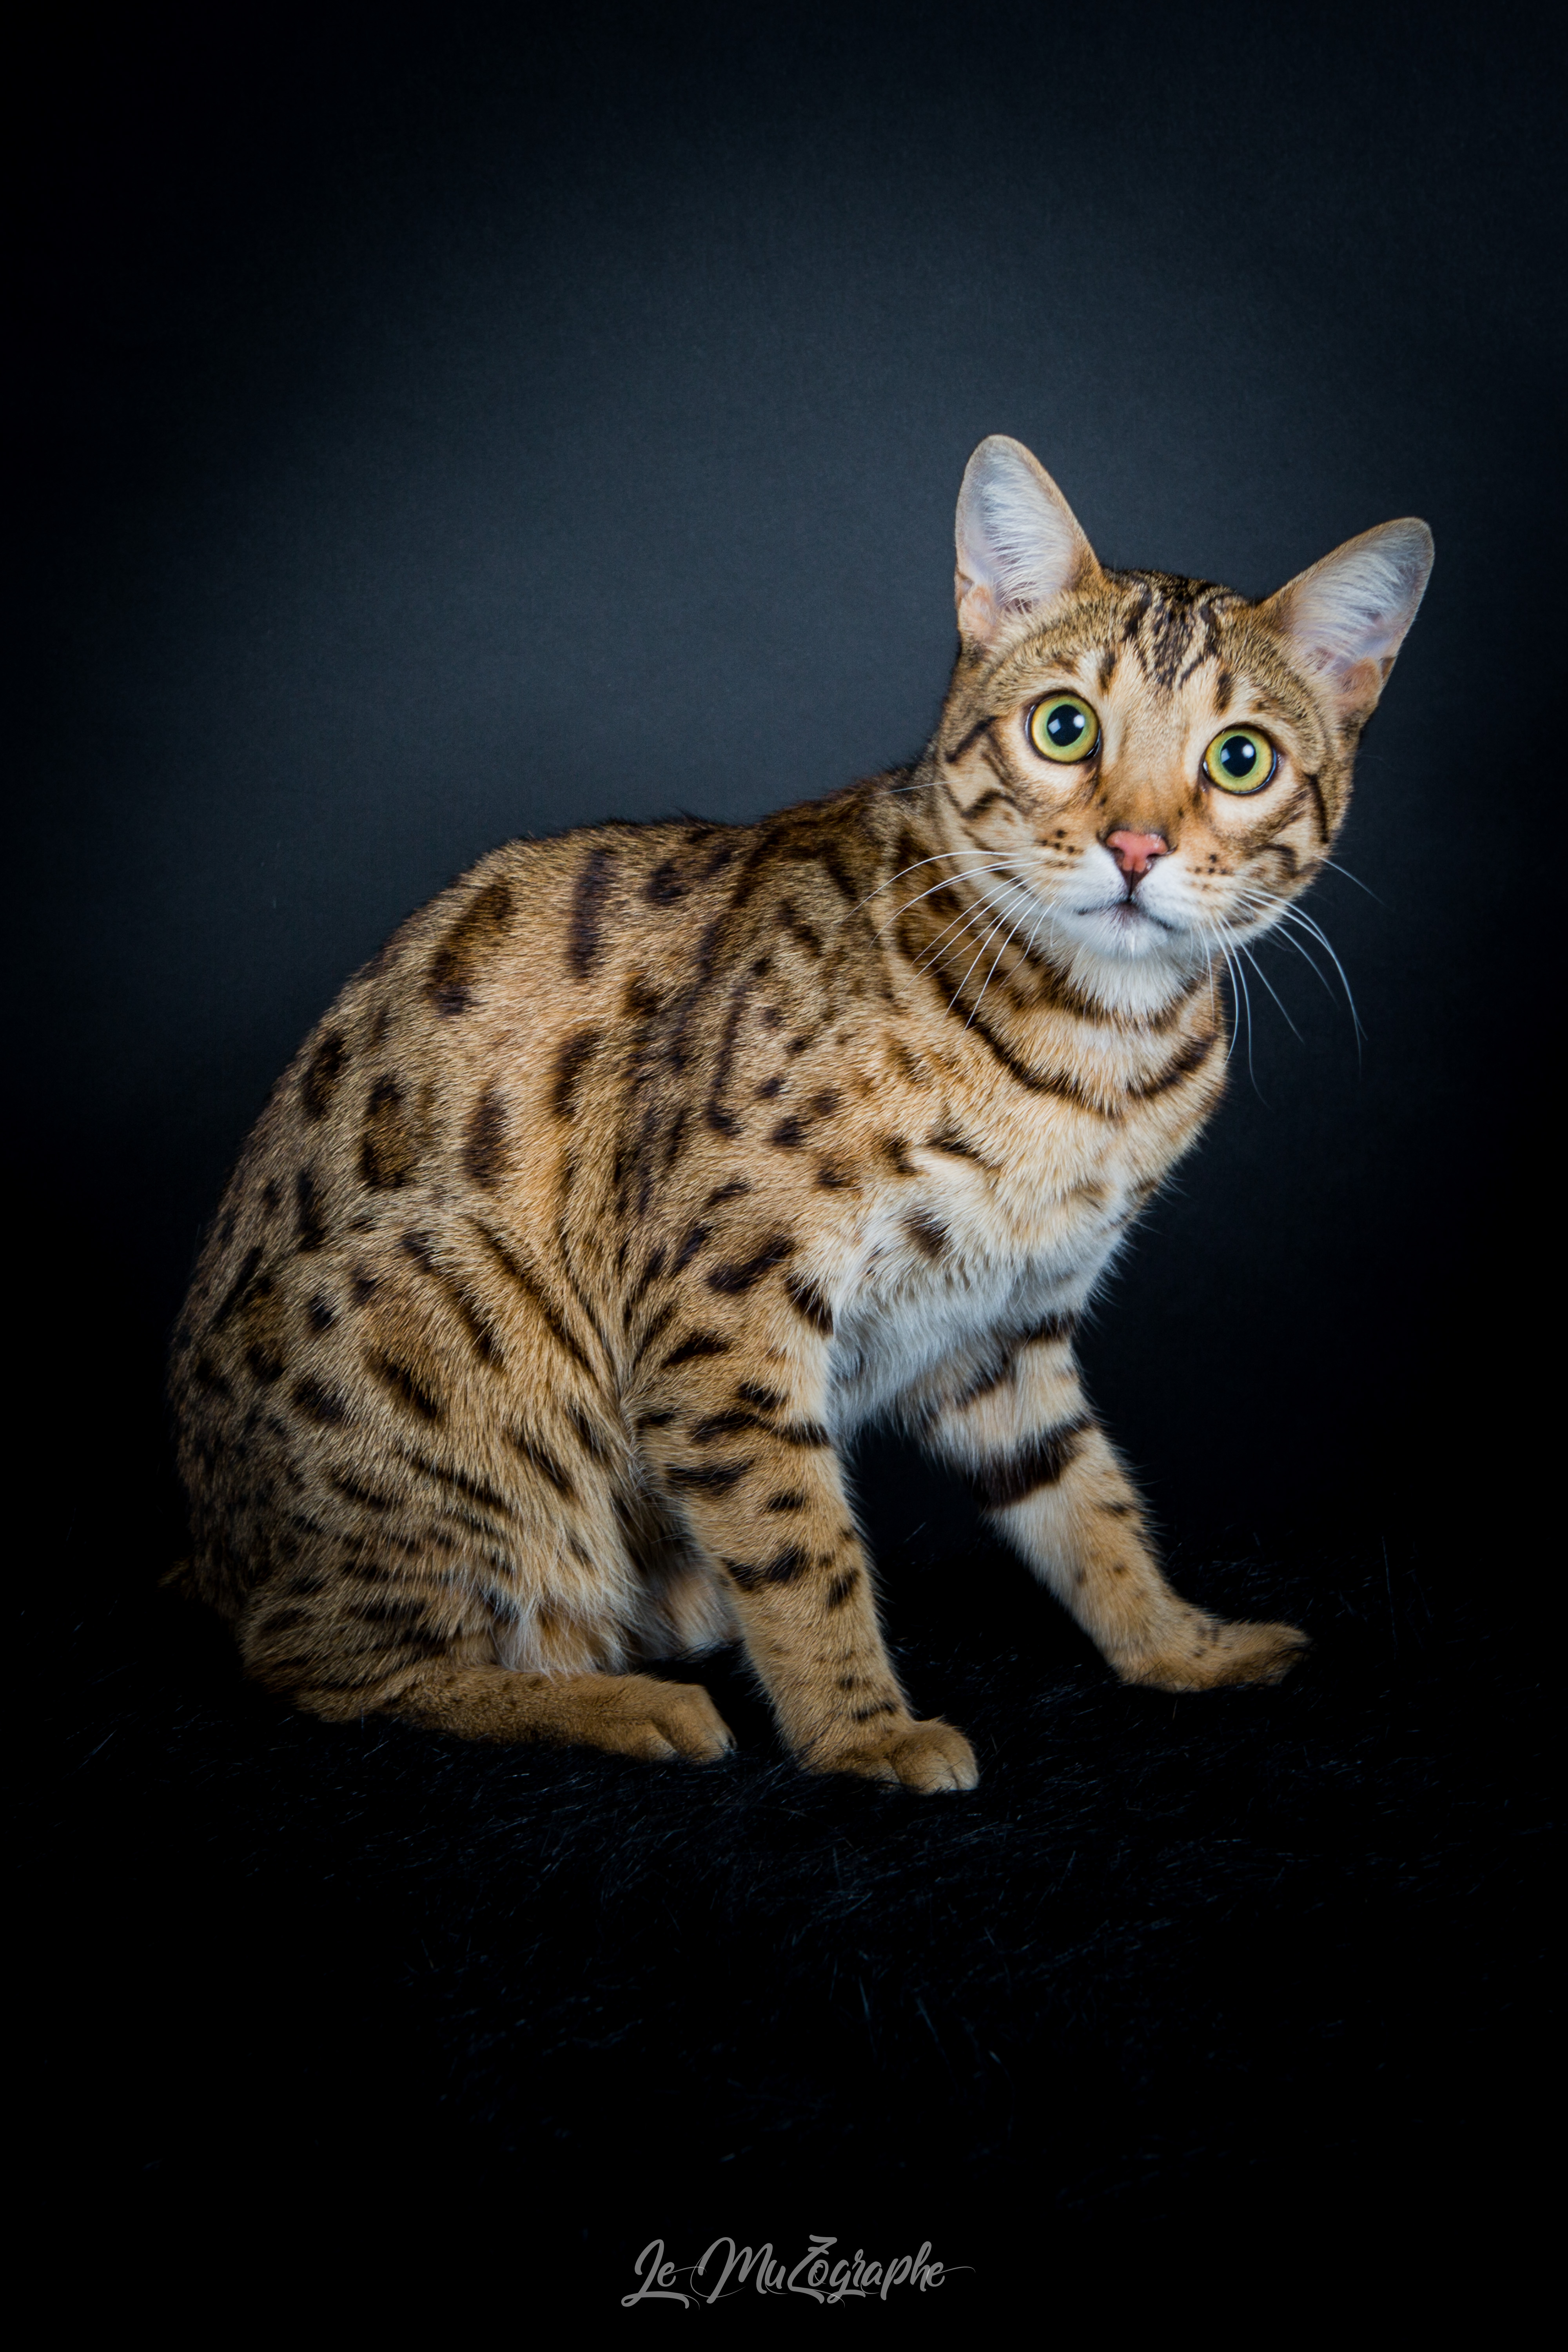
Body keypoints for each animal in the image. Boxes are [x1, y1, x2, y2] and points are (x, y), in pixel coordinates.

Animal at [168, 435, 1432, 1793]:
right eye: (1064, 728)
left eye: (1240, 758)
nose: (1136, 845)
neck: (1094, 1053)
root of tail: (216, 1555)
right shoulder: (720, 1310)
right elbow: (799, 1544)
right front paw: (860, 1729)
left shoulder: (1002, 1323)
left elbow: (1085, 1497)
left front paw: (1176, 1644)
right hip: (456, 1323)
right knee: (326, 1664)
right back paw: (620, 1703)